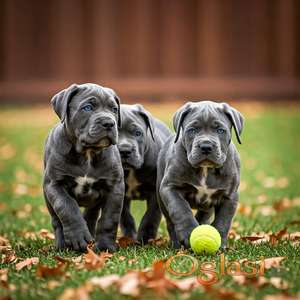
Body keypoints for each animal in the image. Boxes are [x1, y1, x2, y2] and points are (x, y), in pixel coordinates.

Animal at [43, 83, 124, 252]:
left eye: (114, 109)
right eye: (87, 108)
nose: (109, 123)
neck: (87, 153)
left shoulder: (115, 187)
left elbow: (109, 219)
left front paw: (105, 247)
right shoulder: (54, 185)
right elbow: (67, 208)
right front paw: (78, 236)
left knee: (91, 216)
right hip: (46, 196)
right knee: (57, 220)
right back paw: (62, 245)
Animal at [157, 102, 244, 250]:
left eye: (220, 130)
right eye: (192, 130)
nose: (206, 146)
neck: (205, 169)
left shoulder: (230, 195)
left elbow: (224, 220)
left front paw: (220, 244)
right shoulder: (170, 187)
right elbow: (180, 209)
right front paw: (188, 233)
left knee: (205, 214)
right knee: (170, 221)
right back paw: (176, 243)